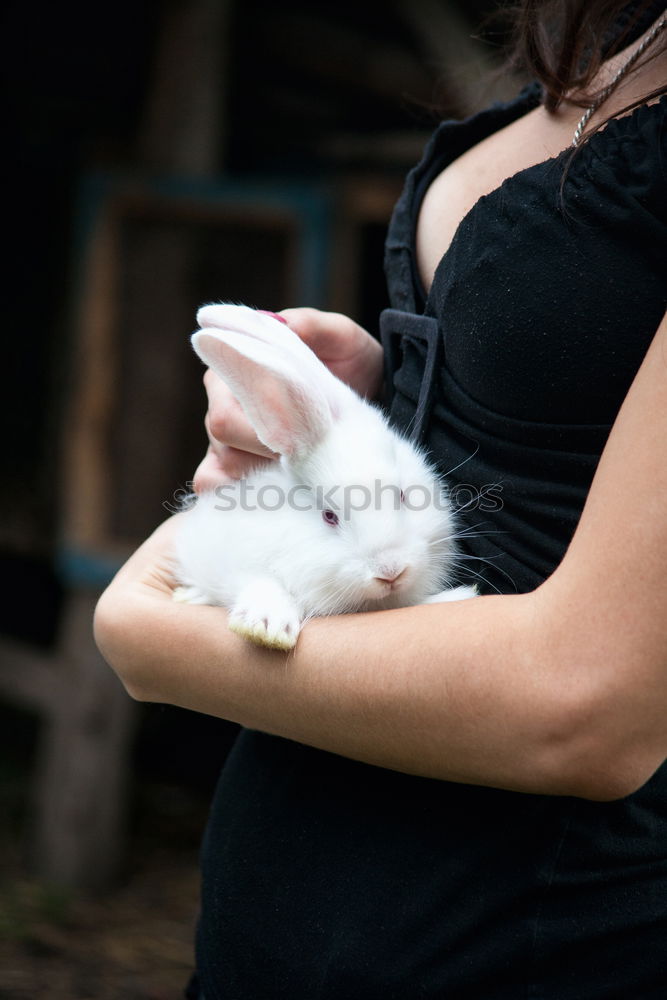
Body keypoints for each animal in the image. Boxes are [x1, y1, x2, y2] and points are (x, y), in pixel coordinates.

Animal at [171, 302, 474, 648]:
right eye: (330, 517)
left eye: (402, 495)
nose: (390, 571)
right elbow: (262, 583)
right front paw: (266, 628)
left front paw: (458, 597)